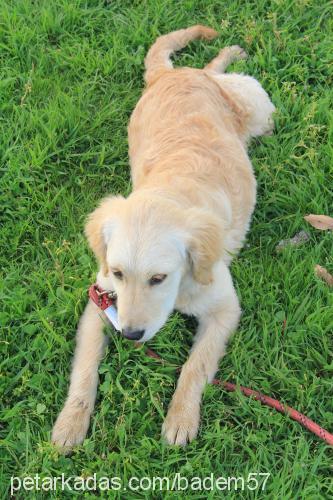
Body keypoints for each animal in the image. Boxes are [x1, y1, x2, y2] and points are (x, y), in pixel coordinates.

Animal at [51, 24, 274, 450]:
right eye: (118, 273)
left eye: (159, 278)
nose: (131, 334)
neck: (170, 191)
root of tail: (172, 75)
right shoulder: (99, 303)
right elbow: (85, 369)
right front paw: (71, 422)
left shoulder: (224, 308)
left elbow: (195, 365)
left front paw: (181, 417)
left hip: (257, 103)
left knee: (225, 76)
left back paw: (230, 53)